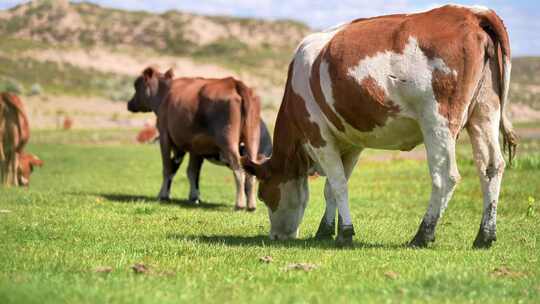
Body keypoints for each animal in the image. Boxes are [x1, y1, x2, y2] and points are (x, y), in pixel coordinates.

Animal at [126, 68, 270, 211]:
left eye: (136, 85)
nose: (129, 103)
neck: (166, 93)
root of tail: (235, 83)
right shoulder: (196, 148)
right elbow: (192, 171)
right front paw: (194, 197)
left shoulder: (165, 137)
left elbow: (168, 168)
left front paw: (163, 195)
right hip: (252, 139)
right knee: (251, 171)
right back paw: (251, 205)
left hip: (227, 141)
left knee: (239, 170)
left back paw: (239, 204)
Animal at [243, 3, 516, 248]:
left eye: (264, 194)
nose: (275, 236)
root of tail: (473, 12)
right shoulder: (351, 144)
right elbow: (331, 188)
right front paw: (325, 230)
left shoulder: (318, 136)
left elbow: (339, 185)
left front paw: (345, 232)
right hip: (484, 113)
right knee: (491, 167)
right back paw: (485, 235)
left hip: (437, 121)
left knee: (446, 176)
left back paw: (423, 234)